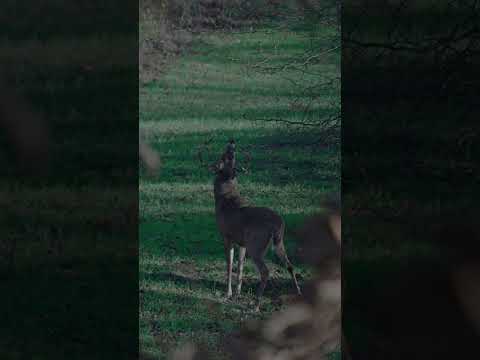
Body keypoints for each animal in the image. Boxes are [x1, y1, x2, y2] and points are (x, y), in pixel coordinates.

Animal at [202, 139, 300, 310]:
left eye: (225, 157)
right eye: (229, 156)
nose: (232, 143)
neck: (224, 198)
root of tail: (277, 225)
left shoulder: (226, 236)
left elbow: (229, 264)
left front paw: (228, 293)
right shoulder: (242, 242)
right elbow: (240, 264)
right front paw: (237, 293)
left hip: (257, 245)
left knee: (266, 271)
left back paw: (256, 304)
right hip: (279, 242)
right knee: (290, 265)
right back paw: (299, 294)